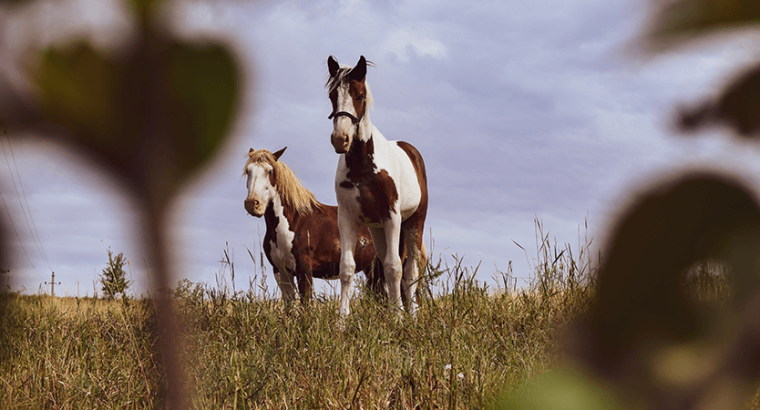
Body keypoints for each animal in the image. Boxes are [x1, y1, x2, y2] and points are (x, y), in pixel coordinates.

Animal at [243, 147, 386, 302]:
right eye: (248, 171)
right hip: (372, 268)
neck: (294, 222)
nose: (252, 204)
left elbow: (306, 302)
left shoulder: (304, 269)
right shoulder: (281, 271)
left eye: (269, 171)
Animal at [324, 55, 428, 318]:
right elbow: (347, 268)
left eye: (360, 95)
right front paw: (341, 320)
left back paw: (412, 315)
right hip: (378, 229)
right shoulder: (347, 218)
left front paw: (399, 319)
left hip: (413, 223)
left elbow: (394, 268)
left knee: (409, 271)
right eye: (332, 95)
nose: (340, 140)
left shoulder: (392, 216)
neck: (364, 166)